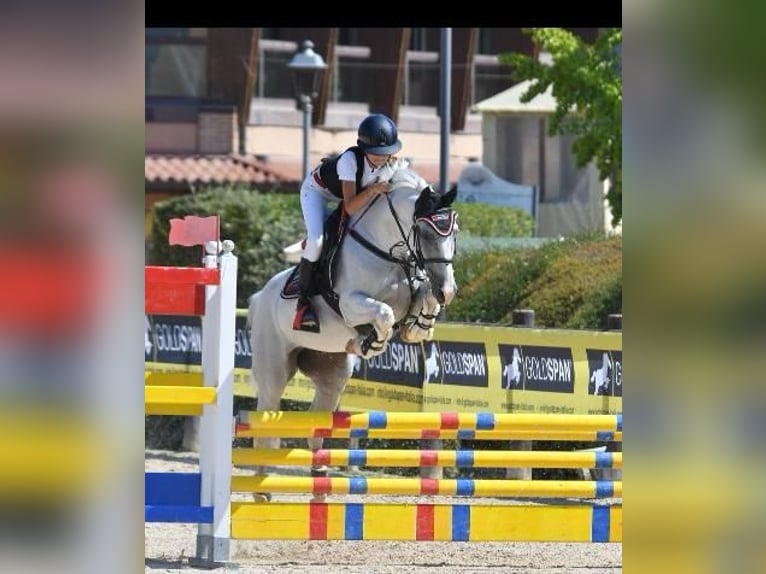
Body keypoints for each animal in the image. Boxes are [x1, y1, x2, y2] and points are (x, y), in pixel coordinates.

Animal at [249, 168, 460, 500]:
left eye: (455, 232)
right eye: (425, 234)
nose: (448, 291)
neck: (388, 253)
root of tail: (259, 297)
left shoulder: (416, 289)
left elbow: (424, 297)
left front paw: (418, 328)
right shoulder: (351, 304)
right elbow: (383, 314)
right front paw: (373, 341)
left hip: (331, 372)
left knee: (316, 422)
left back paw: (320, 486)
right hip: (274, 371)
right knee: (267, 420)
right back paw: (262, 490)